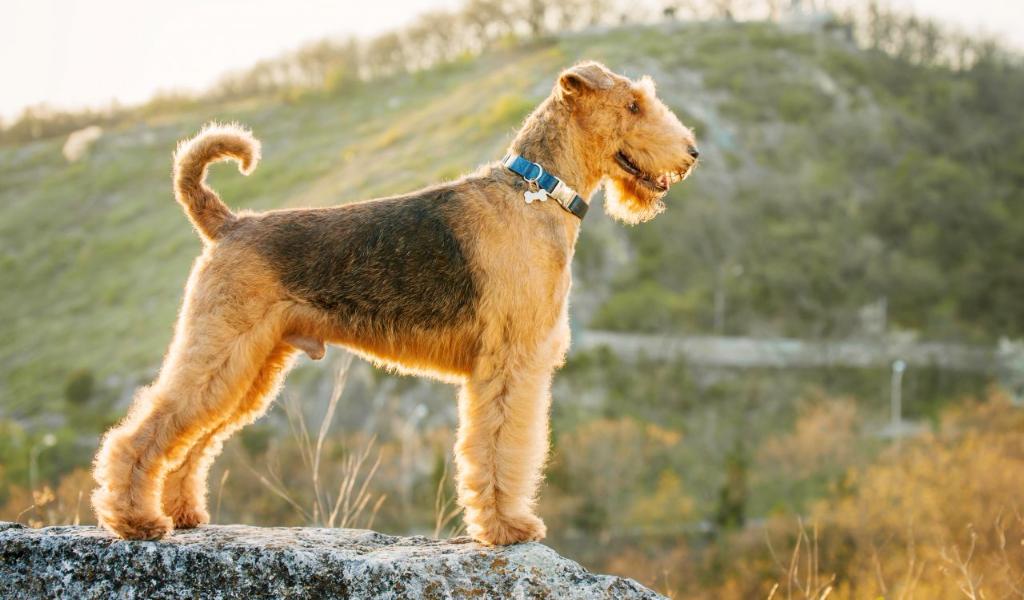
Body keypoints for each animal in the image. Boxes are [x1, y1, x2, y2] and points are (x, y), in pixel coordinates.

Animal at [92, 59, 700, 540]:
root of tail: (228, 223)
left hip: (250, 368)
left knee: (192, 442)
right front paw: (508, 528)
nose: (691, 153)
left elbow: (499, 448)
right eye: (633, 104)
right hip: (221, 350)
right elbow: (501, 447)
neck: (539, 192)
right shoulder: (511, 363)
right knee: (138, 433)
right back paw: (135, 520)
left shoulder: (515, 363)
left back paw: (184, 514)